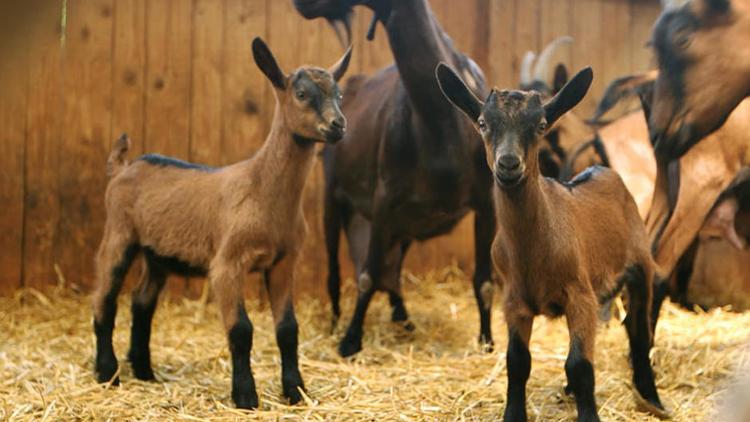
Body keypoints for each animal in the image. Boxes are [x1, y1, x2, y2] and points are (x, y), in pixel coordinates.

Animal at [294, 0, 500, 356]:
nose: (300, 4)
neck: (440, 123)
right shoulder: (384, 198)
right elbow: (367, 273)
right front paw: (350, 340)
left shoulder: (485, 202)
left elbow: (484, 282)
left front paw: (487, 341)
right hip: (334, 197)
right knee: (336, 269)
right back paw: (335, 323)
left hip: (405, 223)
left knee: (393, 270)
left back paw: (403, 318)